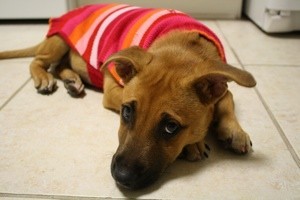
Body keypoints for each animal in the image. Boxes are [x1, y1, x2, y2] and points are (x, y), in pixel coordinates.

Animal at [0, 3, 255, 190]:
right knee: (39, 61)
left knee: (60, 66)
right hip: (59, 41)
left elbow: (227, 99)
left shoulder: (221, 87)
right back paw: (44, 78)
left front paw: (234, 131)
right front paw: (194, 144)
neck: (182, 47)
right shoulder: (114, 91)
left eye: (171, 127)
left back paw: (72, 81)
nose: (122, 178)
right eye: (127, 111)